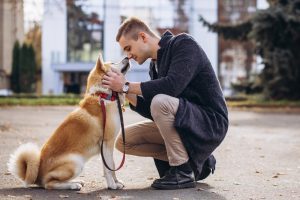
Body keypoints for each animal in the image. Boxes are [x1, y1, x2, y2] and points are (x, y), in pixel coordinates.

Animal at [7, 53, 130, 191]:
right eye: (113, 63)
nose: (127, 57)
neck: (103, 96)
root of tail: (37, 175)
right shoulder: (106, 142)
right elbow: (109, 168)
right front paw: (112, 185)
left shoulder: (109, 145)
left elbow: (112, 165)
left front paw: (116, 181)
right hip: (76, 162)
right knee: (49, 184)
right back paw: (73, 185)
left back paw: (75, 181)